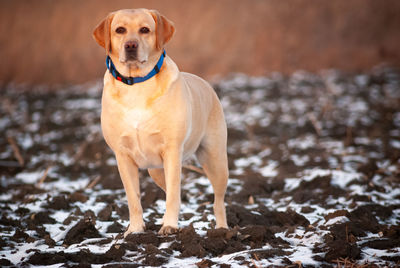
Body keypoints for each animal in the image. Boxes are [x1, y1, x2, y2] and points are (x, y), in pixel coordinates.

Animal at [92, 7, 227, 234]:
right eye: (120, 30)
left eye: (145, 30)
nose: (130, 45)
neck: (136, 83)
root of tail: (205, 83)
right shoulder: (123, 156)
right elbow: (134, 199)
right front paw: (135, 230)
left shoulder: (172, 150)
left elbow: (173, 196)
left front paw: (169, 226)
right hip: (156, 170)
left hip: (215, 160)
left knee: (218, 200)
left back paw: (223, 229)